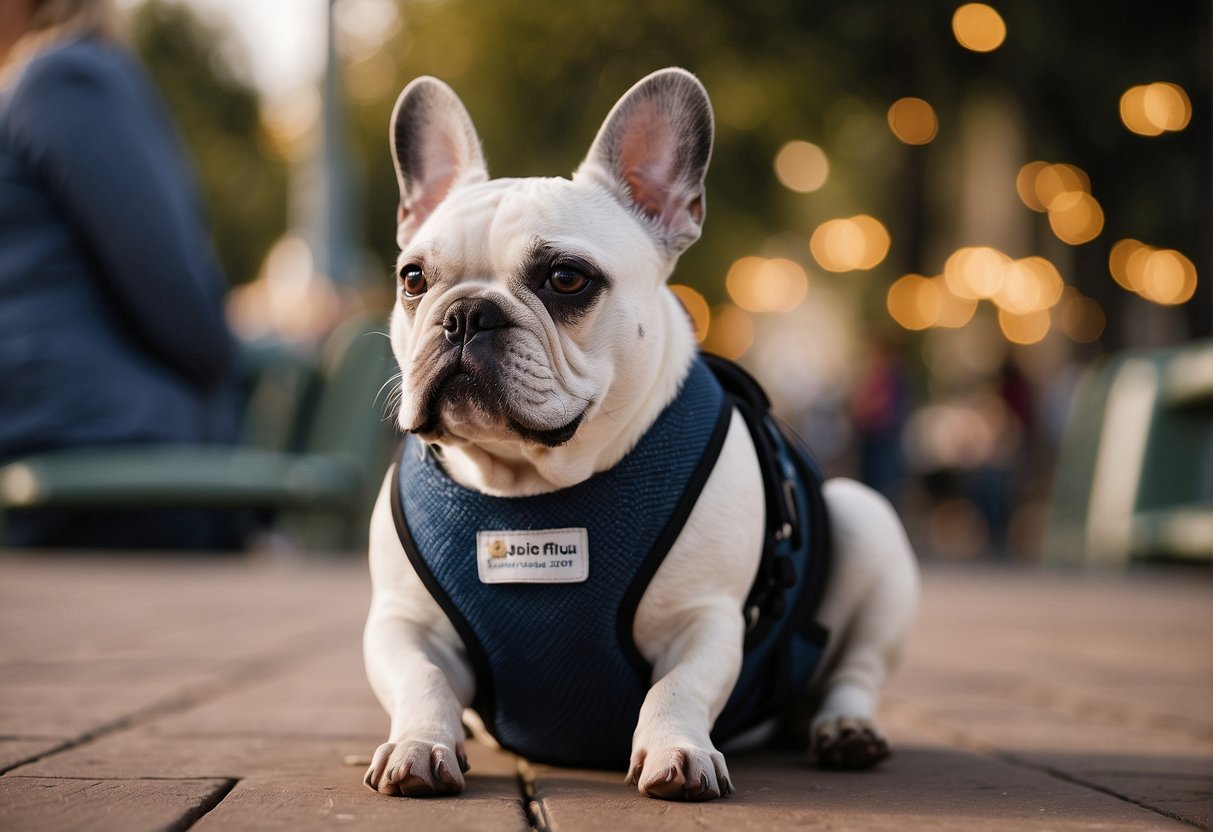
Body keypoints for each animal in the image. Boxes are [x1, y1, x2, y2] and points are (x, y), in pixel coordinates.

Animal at [361, 66, 917, 800]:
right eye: (413, 278)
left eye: (566, 279)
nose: (467, 314)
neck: (526, 484)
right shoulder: (402, 622)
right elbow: (420, 677)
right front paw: (419, 744)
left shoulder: (705, 620)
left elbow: (677, 688)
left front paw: (677, 751)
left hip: (866, 521)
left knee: (856, 670)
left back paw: (844, 729)